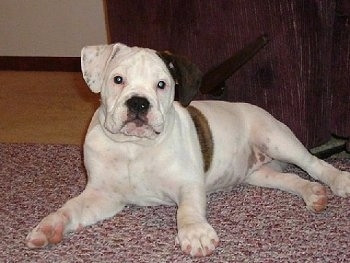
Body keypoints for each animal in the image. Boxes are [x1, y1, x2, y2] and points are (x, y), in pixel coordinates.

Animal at [26, 43, 350, 258]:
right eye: (118, 80)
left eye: (161, 85)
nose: (139, 103)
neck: (134, 147)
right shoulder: (103, 195)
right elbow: (71, 208)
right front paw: (50, 227)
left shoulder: (188, 183)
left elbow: (188, 210)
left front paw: (195, 232)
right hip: (258, 173)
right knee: (291, 179)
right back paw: (313, 194)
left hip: (277, 138)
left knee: (313, 164)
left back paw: (338, 181)